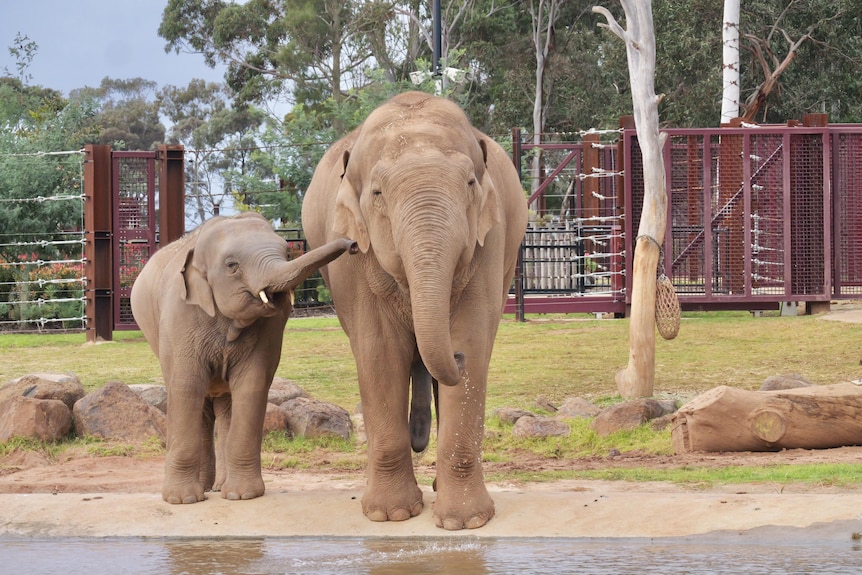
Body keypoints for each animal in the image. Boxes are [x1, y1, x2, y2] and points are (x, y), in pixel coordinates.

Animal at [130, 212, 356, 504]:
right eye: (232, 265)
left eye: (287, 252)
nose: (353, 243)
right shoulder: (179, 316)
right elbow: (186, 385)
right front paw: (182, 500)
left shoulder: (268, 330)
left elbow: (251, 385)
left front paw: (243, 496)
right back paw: (205, 489)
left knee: (225, 406)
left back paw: (219, 488)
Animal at [301, 91, 528, 530]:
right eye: (377, 193)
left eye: (470, 183)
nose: (455, 356)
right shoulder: (355, 257)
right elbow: (380, 352)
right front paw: (390, 515)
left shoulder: (489, 242)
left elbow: (473, 339)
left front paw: (464, 522)